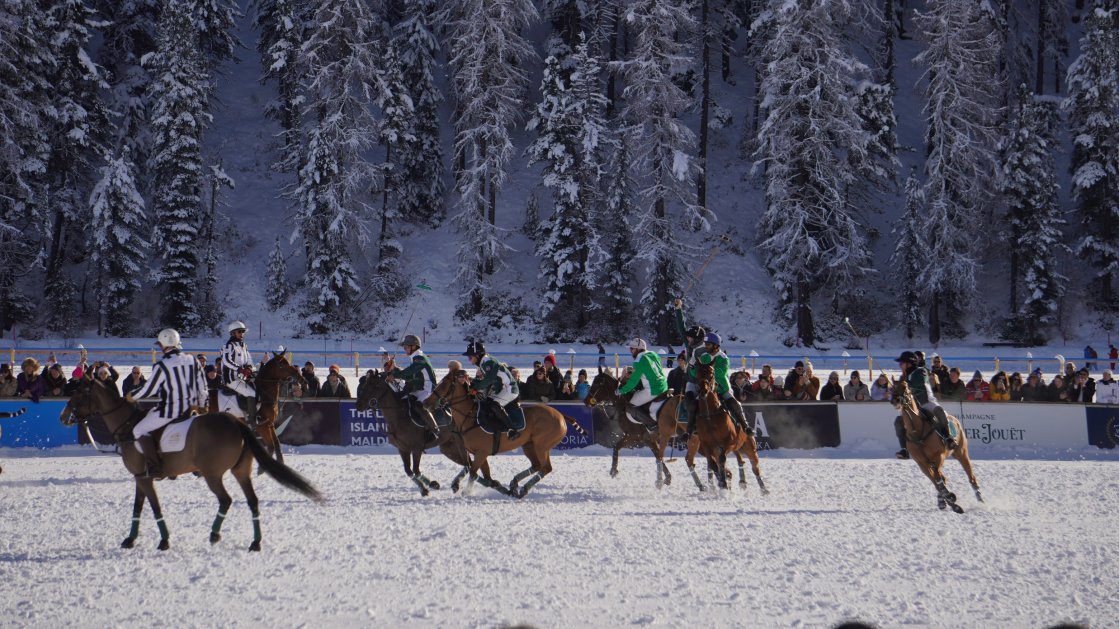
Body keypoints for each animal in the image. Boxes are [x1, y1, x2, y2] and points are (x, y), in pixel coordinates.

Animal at [61, 373, 324, 546]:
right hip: (239, 471)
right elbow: (138, 507)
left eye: (78, 393)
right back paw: (255, 541)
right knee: (252, 501)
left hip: (213, 474)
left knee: (226, 500)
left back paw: (215, 534)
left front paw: (164, 540)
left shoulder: (143, 478)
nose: (63, 417)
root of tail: (236, 423)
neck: (128, 426)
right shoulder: (140, 478)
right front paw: (130, 539)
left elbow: (154, 507)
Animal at [427, 364, 590, 496]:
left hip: (542, 445)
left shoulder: (481, 452)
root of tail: (560, 415)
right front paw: (457, 484)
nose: (426, 402)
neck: (470, 416)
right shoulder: (479, 453)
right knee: (537, 465)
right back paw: (514, 484)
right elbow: (482, 474)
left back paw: (523, 488)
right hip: (529, 445)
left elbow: (473, 471)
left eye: (444, 384)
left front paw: (466, 491)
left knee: (546, 468)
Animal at [890, 376, 980, 510]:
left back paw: (979, 497)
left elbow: (938, 478)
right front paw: (948, 499)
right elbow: (936, 481)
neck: (917, 432)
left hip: (961, 452)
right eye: (891, 388)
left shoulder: (939, 456)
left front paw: (950, 499)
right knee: (942, 478)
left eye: (905, 386)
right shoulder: (922, 463)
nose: (895, 400)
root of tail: (955, 420)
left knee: (971, 476)